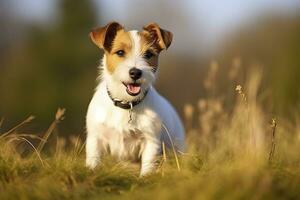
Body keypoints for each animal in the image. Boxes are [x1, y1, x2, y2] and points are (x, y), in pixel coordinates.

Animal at [85, 21, 185, 176]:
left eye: (148, 54)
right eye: (120, 52)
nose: (136, 72)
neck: (126, 103)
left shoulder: (150, 141)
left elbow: (148, 166)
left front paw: (145, 178)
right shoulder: (96, 138)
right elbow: (93, 160)